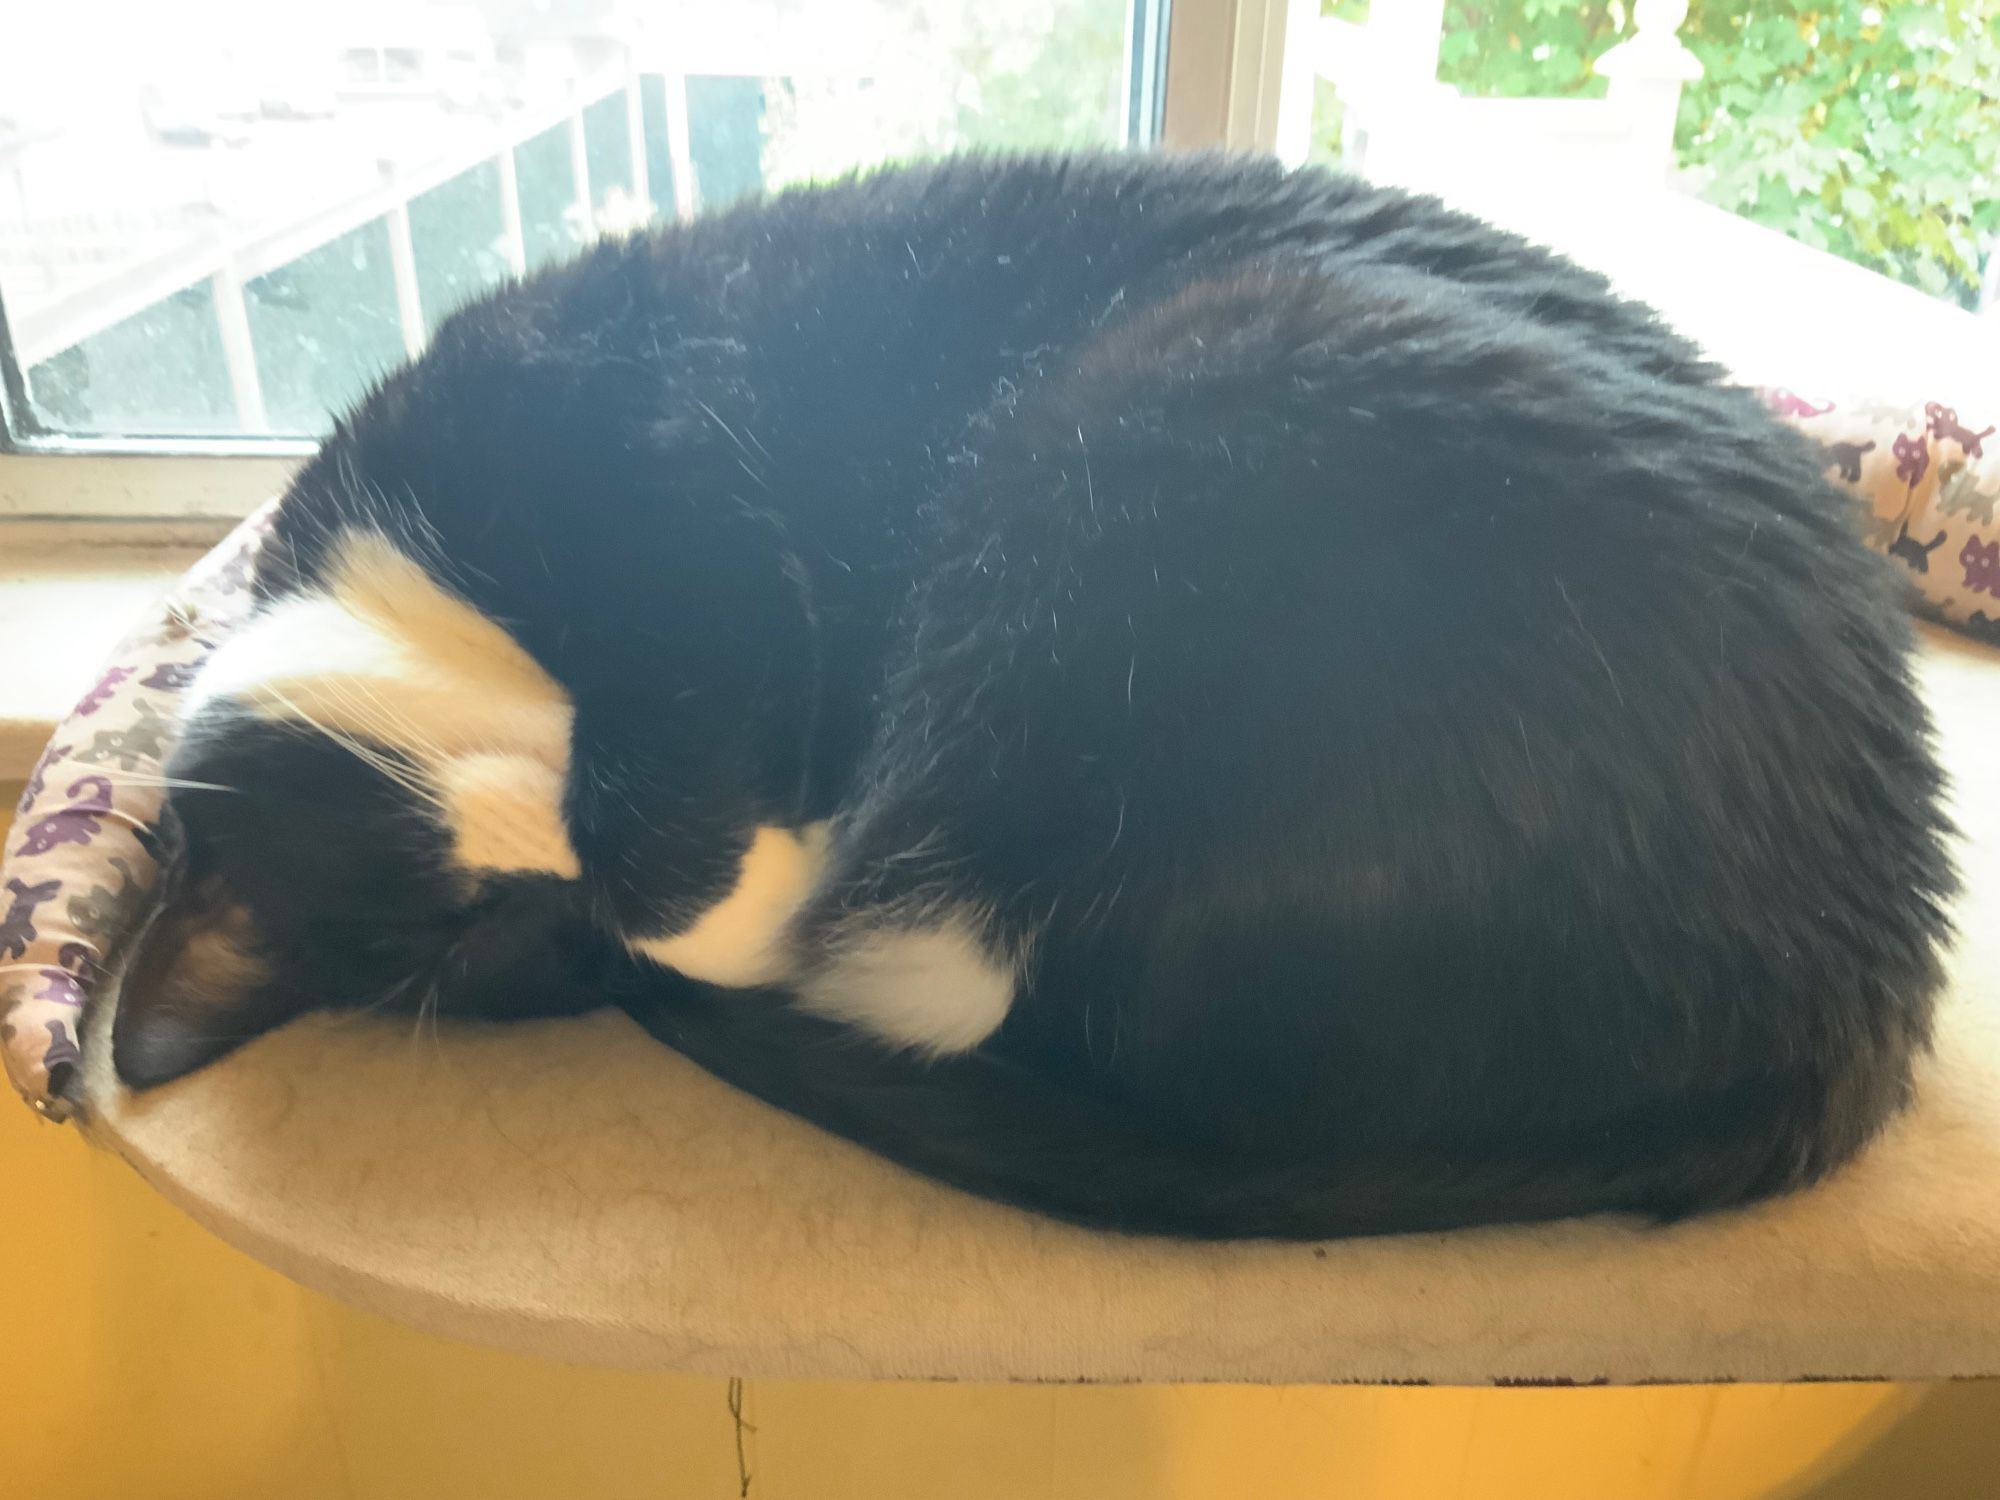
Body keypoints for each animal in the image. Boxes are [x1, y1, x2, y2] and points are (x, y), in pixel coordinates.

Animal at [109, 153, 1952, 1240]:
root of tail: (1846, 1008)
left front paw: (718, 880)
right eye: (494, 948)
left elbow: (702, 661)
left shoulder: (632, 431)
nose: (569, 899)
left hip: (1160, 414)